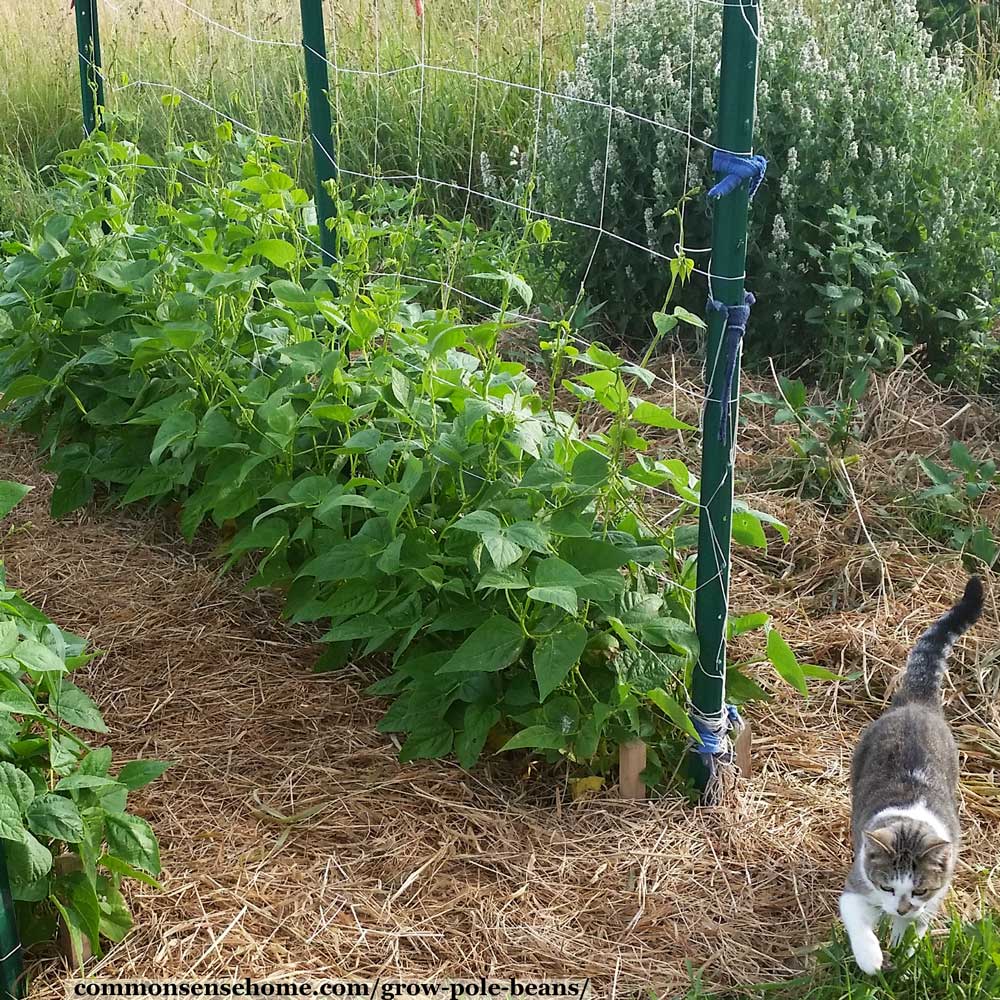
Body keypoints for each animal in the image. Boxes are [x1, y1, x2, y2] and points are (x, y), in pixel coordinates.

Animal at [836, 576, 984, 972]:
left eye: (919, 889)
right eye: (888, 887)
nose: (900, 907)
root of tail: (917, 702)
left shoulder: (932, 898)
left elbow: (914, 928)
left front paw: (904, 953)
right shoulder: (858, 884)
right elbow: (856, 917)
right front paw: (871, 958)